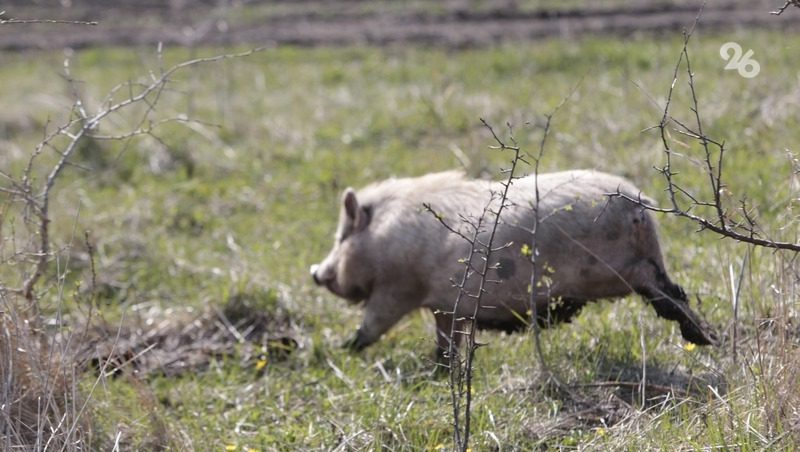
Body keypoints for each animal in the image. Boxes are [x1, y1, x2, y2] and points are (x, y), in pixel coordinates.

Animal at [310, 170, 716, 356]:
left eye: (341, 238)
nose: (315, 272)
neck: (382, 239)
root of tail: (639, 206)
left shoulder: (397, 289)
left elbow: (370, 327)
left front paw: (342, 350)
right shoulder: (446, 307)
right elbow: (447, 345)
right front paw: (440, 371)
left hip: (617, 272)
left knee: (664, 292)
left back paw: (704, 339)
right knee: (676, 291)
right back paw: (708, 340)